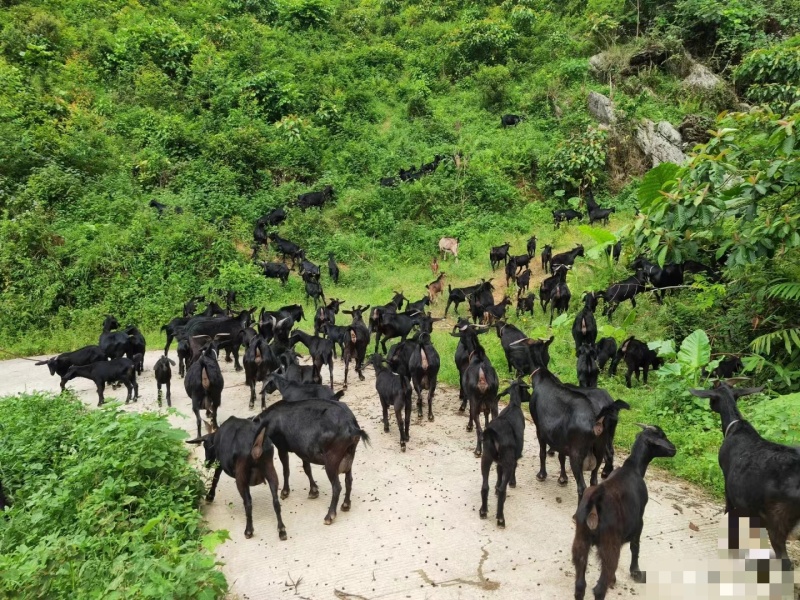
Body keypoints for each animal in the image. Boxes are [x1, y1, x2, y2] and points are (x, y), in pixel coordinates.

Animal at [478, 378, 528, 528]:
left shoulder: (499, 461)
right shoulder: (512, 458)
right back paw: (500, 518)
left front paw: (496, 486)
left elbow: (498, 473)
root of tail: (493, 434)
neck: (513, 405)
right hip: (507, 460)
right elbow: (514, 467)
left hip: (486, 457)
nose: (530, 397)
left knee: (485, 486)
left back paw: (483, 511)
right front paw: (512, 482)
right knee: (502, 490)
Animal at [572, 424, 680, 596]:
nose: (673, 449)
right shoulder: (639, 521)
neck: (633, 468)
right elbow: (635, 546)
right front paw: (636, 572)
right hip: (609, 543)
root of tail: (595, 500)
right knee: (599, 587)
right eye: (662, 436)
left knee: (580, 584)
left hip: (581, 539)